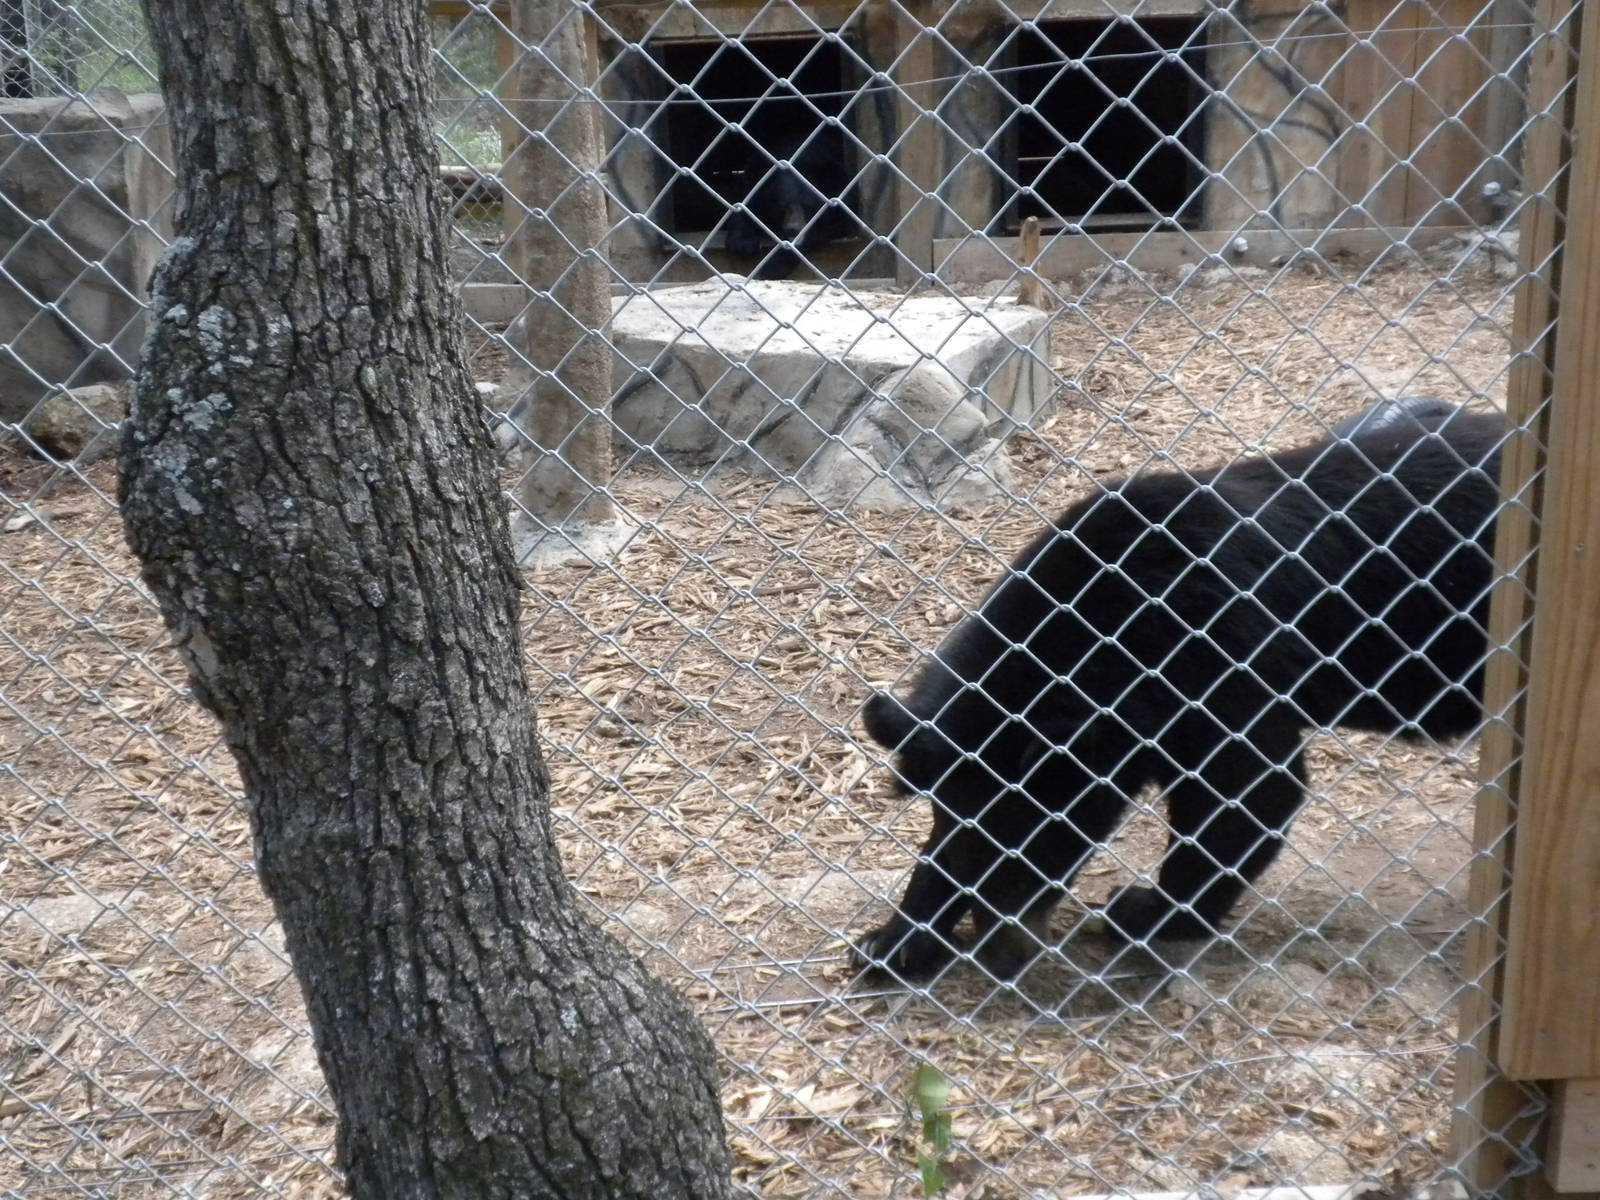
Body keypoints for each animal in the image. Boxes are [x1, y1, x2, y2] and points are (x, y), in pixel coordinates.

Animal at [856, 407, 1504, 982]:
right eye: (952, 830)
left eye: (1032, 840)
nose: (1000, 953)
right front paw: (893, 944)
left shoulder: (1222, 672)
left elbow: (1246, 796)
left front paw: (1145, 914)